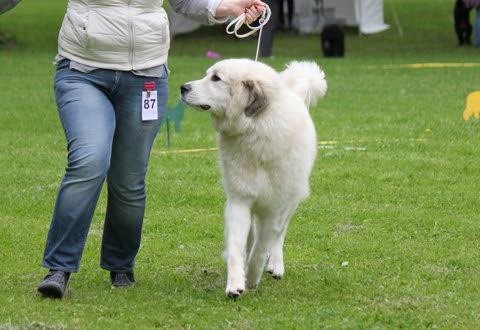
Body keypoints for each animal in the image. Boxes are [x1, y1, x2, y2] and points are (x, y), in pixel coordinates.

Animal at [180, 58, 326, 298]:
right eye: (208, 74)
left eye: (216, 78)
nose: (183, 88)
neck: (256, 128)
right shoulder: (239, 200)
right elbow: (237, 244)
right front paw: (235, 283)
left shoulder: (275, 207)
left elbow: (262, 246)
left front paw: (252, 276)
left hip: (290, 202)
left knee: (278, 236)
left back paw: (275, 265)